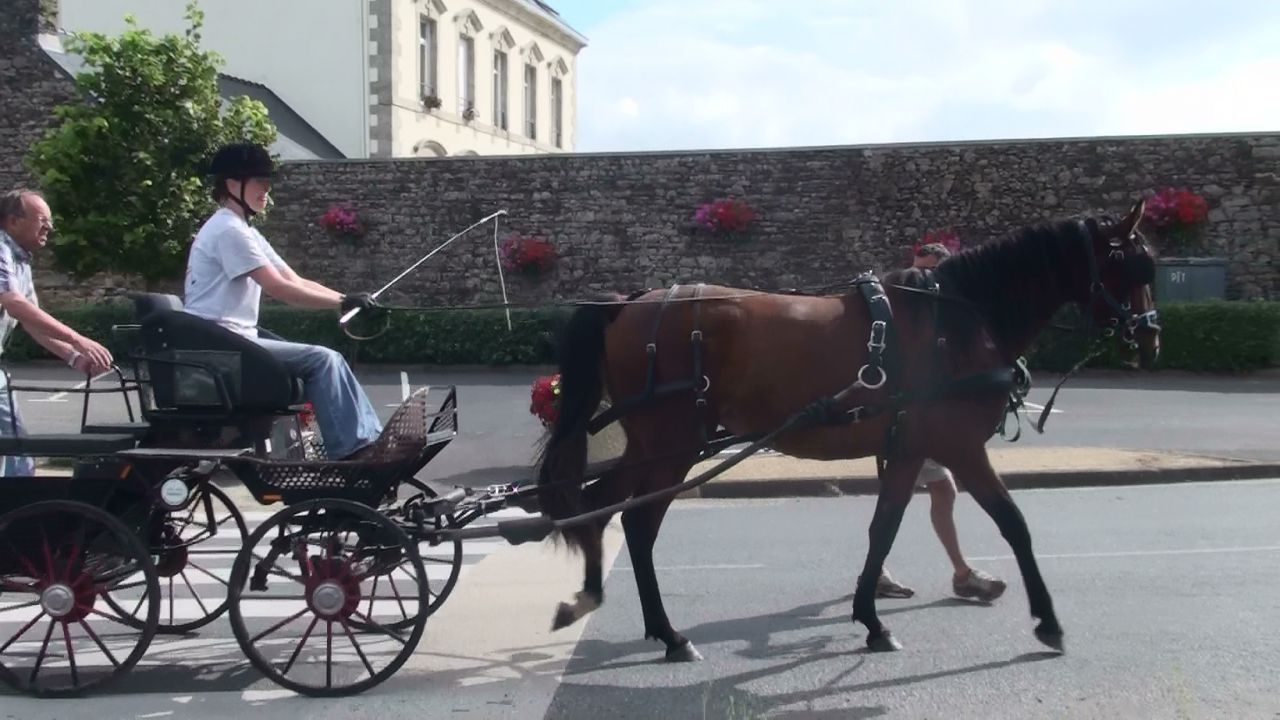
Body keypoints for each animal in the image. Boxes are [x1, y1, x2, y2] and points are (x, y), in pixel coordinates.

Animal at [533, 200, 1161, 661]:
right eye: (1136, 268)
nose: (1152, 338)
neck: (955, 320)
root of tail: (629, 301)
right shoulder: (959, 447)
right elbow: (1015, 525)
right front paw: (1048, 620)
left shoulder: (909, 450)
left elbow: (883, 529)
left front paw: (872, 616)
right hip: (673, 444)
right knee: (638, 523)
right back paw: (668, 633)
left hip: (650, 444)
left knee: (603, 506)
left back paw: (592, 595)